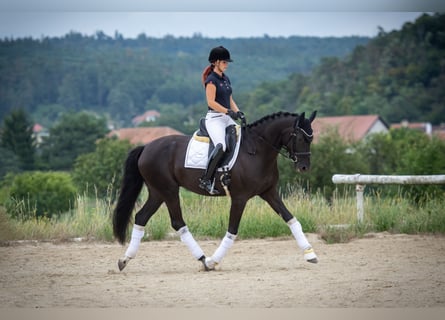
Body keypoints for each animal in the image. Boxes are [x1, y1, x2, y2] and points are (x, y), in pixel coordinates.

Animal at [112, 111, 318, 272]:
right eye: (300, 138)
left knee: (141, 217)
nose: (304, 167)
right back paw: (204, 260)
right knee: (178, 222)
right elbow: (232, 231)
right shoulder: (240, 198)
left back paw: (124, 259)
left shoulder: (269, 193)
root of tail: (146, 147)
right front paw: (213, 261)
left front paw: (310, 254)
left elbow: (291, 219)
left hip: (157, 192)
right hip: (169, 190)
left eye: (311, 138)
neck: (258, 150)